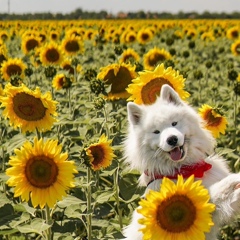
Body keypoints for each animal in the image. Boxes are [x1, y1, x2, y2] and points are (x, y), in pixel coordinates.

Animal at [124, 84, 240, 240]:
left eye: (174, 123)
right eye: (156, 132)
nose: (172, 139)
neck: (185, 169)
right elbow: (219, 189)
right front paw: (234, 179)